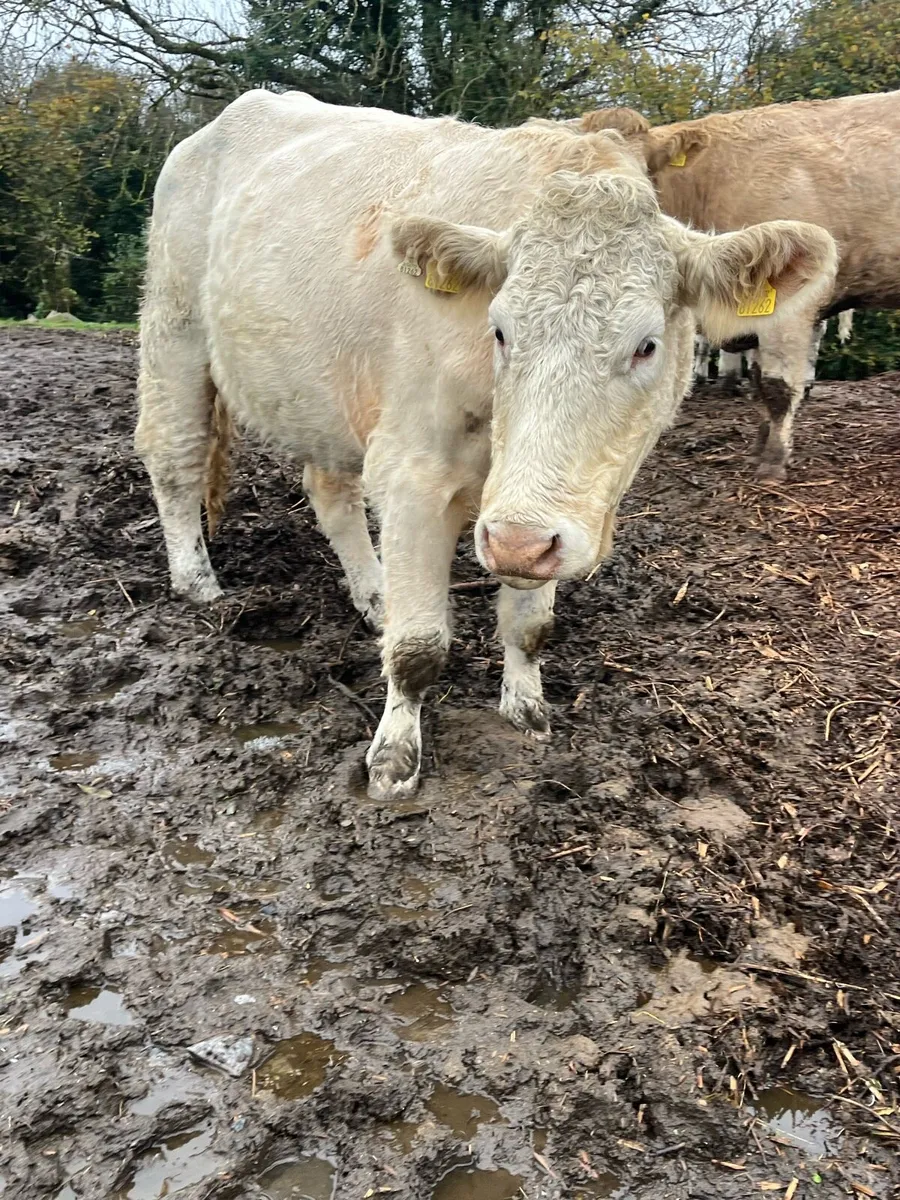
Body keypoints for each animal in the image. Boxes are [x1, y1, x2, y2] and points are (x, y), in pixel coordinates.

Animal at [136, 90, 836, 798]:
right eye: (498, 329)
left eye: (647, 345)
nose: (516, 542)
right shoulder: (414, 473)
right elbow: (418, 647)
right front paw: (394, 758)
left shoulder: (541, 521)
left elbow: (531, 625)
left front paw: (525, 707)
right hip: (173, 327)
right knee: (174, 454)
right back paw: (197, 582)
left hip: (322, 392)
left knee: (329, 491)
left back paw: (374, 594)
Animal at [575, 92, 900, 477]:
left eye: (638, 176)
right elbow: (759, 380)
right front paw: (759, 446)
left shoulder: (791, 310)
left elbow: (776, 387)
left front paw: (773, 459)